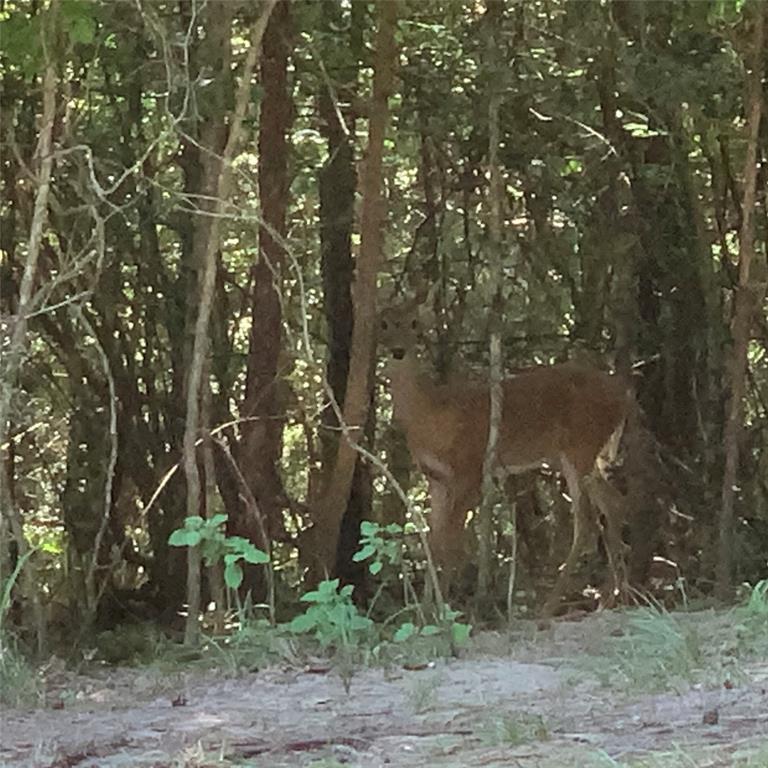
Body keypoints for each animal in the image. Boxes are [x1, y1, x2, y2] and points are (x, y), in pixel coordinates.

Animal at [380, 296, 636, 616]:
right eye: (384, 324)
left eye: (414, 322)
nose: (397, 351)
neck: (432, 415)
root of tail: (624, 394)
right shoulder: (436, 478)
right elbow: (433, 540)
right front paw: (425, 612)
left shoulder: (470, 468)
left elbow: (450, 542)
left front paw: (444, 612)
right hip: (581, 455)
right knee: (614, 503)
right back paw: (612, 598)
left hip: (580, 445)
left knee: (586, 519)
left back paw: (551, 606)